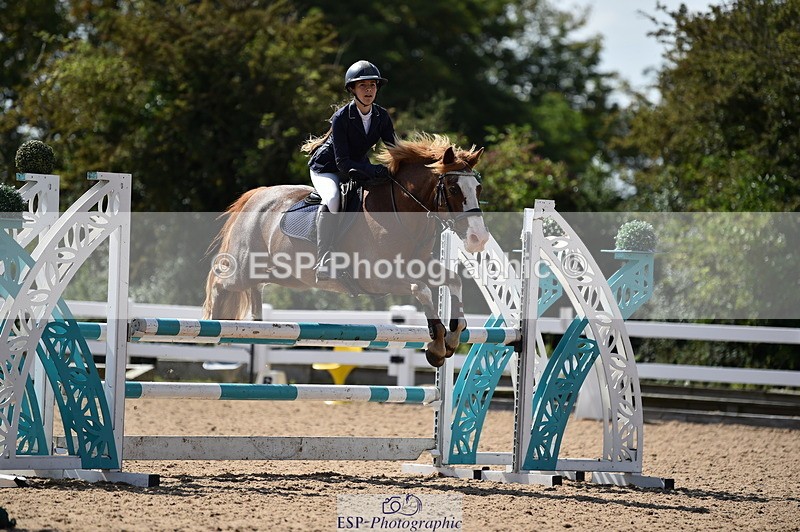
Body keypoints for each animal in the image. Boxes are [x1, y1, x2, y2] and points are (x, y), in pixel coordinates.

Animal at [202, 133, 490, 367]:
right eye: (452, 188)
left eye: (478, 189)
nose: (479, 238)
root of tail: (258, 194)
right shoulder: (378, 278)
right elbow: (421, 289)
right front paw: (437, 346)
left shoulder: (420, 267)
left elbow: (453, 280)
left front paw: (451, 339)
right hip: (242, 268)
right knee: (219, 280)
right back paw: (214, 322)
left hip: (280, 274)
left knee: (255, 287)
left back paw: (255, 322)